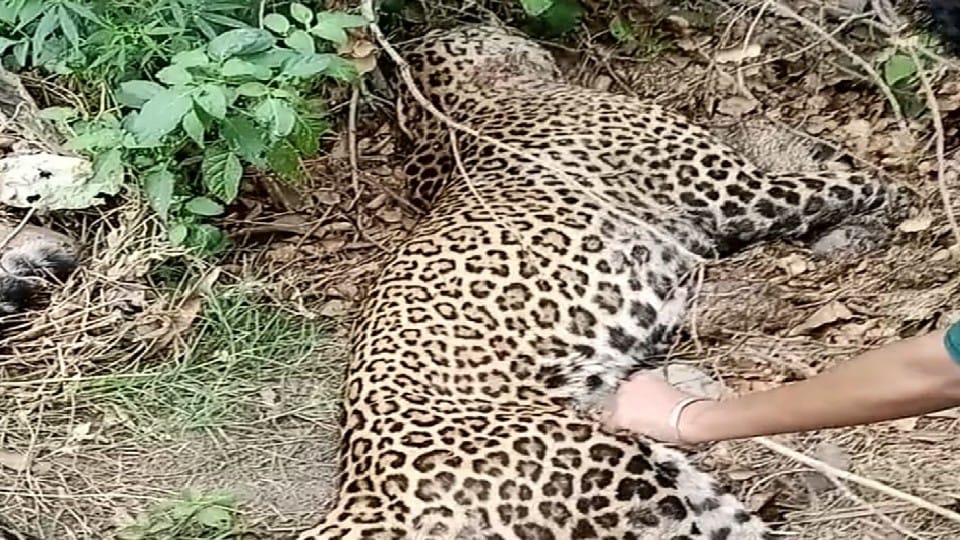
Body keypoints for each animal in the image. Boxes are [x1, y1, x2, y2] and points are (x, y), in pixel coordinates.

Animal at [296, 23, 912, 540]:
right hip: (618, 477)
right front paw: (895, 196)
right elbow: (843, 183)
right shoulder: (740, 194)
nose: (506, 25)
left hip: (658, 462)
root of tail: (365, 493)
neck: (475, 103)